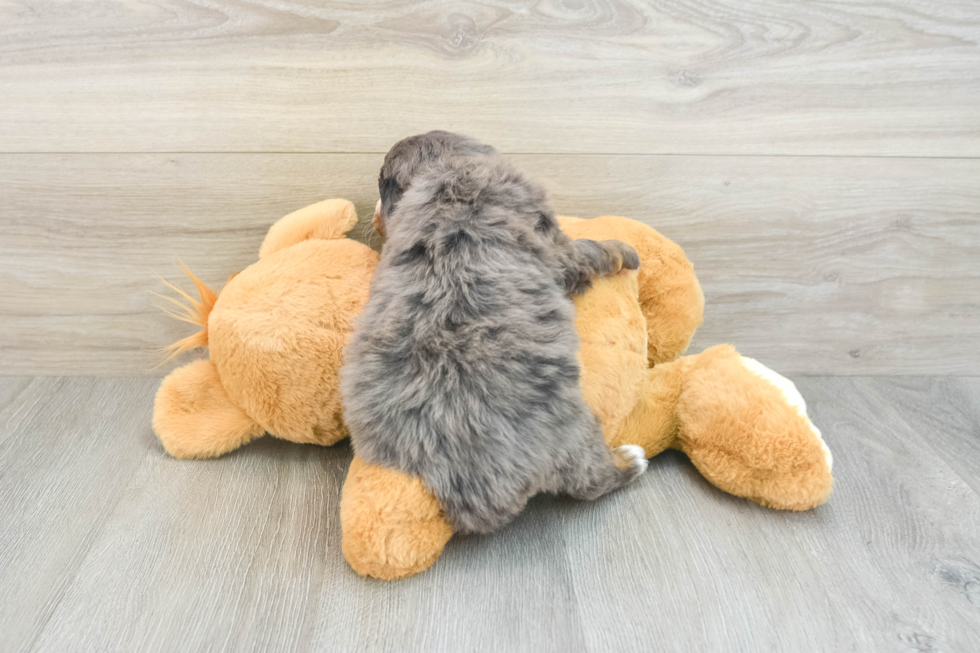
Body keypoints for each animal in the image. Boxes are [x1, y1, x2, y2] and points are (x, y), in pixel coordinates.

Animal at [340, 132, 648, 536]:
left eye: (384, 186)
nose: (376, 215)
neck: (452, 170)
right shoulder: (555, 242)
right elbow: (589, 249)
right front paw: (624, 252)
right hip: (574, 433)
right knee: (592, 478)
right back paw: (631, 459)